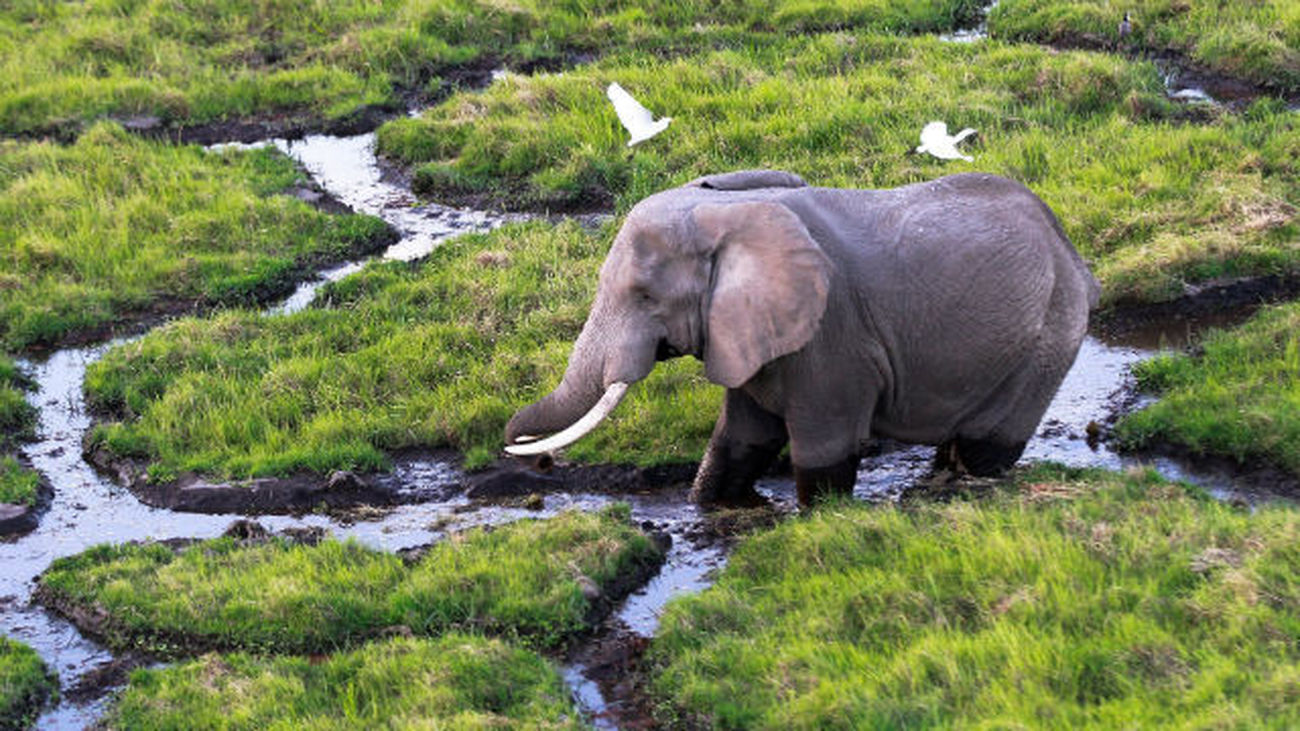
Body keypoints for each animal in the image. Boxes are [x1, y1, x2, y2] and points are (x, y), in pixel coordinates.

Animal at [505, 169, 1100, 506]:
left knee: (985, 446)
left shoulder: (832, 336)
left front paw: (823, 518)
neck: (723, 216)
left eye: (646, 296)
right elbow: (740, 440)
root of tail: (1069, 248)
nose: (532, 459)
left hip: (1049, 337)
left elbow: (823, 451)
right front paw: (710, 506)